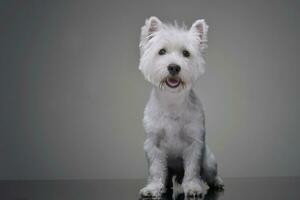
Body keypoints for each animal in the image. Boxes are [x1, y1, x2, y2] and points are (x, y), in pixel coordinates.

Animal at [138, 16, 223, 198]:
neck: (172, 102)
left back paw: (217, 182)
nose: (174, 67)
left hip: (209, 161)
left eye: (186, 53)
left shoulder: (194, 144)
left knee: (210, 174)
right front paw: (153, 188)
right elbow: (156, 170)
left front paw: (192, 188)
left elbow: (192, 169)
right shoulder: (154, 145)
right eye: (162, 51)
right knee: (167, 176)